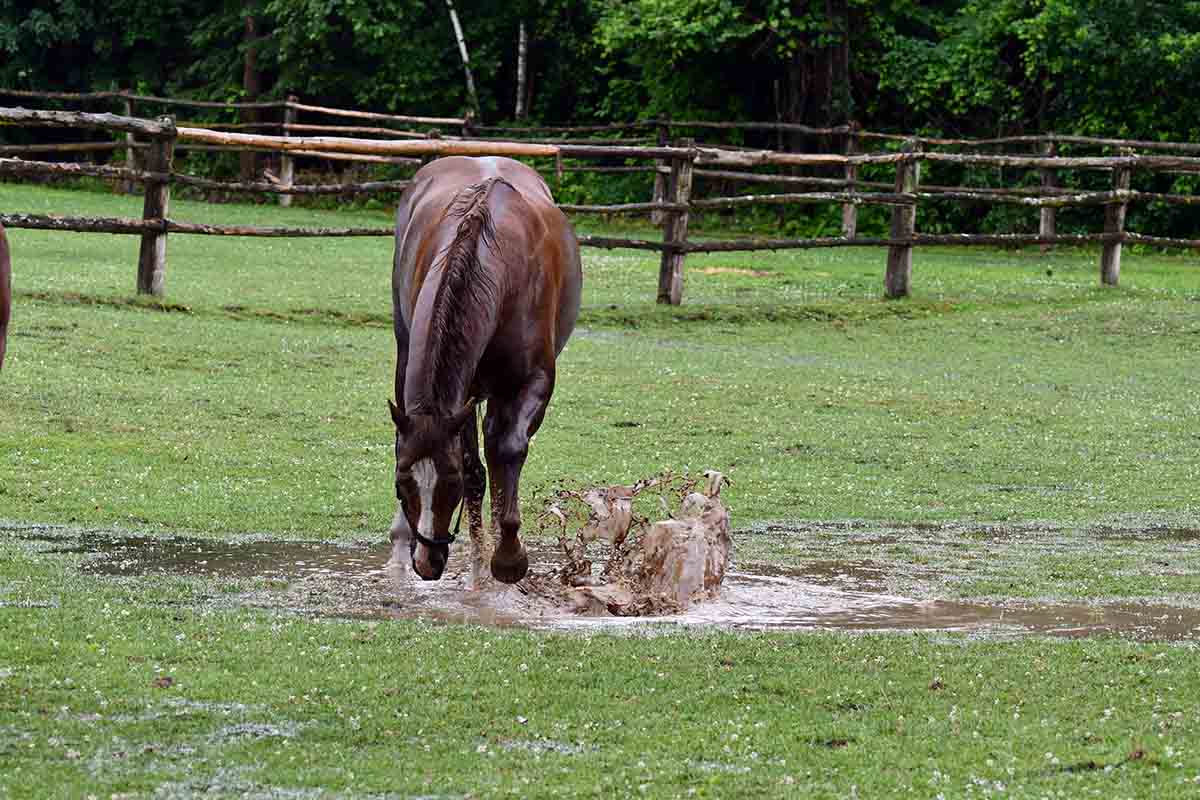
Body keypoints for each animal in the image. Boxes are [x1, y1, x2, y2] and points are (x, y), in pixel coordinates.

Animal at [388, 156, 582, 585]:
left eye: (451, 484)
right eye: (401, 484)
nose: (427, 562)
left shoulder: (532, 382)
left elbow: (505, 450)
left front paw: (508, 560)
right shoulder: (453, 396)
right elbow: (476, 470)